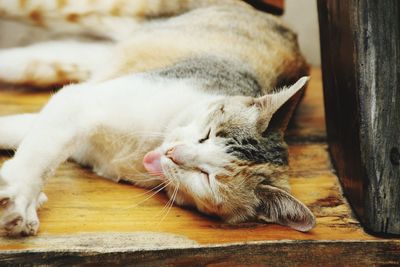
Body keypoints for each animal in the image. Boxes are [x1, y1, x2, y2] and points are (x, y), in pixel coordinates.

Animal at [0, 0, 312, 237]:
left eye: (207, 177)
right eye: (207, 134)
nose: (175, 154)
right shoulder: (80, 101)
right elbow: (42, 153)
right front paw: (22, 194)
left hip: (61, 61)